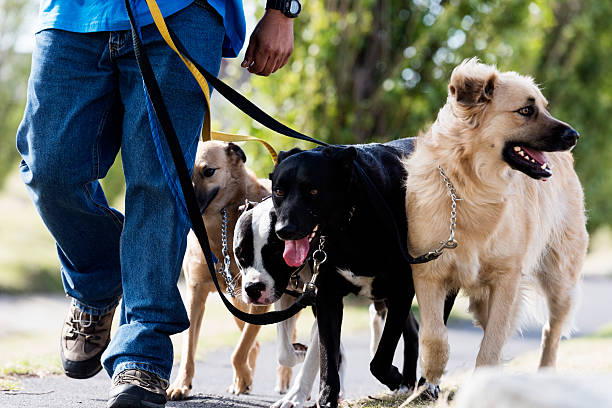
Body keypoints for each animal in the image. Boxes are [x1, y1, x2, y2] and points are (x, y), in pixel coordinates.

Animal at [167, 140, 292, 398]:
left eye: (209, 171)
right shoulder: (196, 293)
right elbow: (189, 346)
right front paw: (181, 384)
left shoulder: (260, 300)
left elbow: (240, 349)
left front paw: (243, 375)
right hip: (236, 301)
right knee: (254, 343)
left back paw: (283, 379)